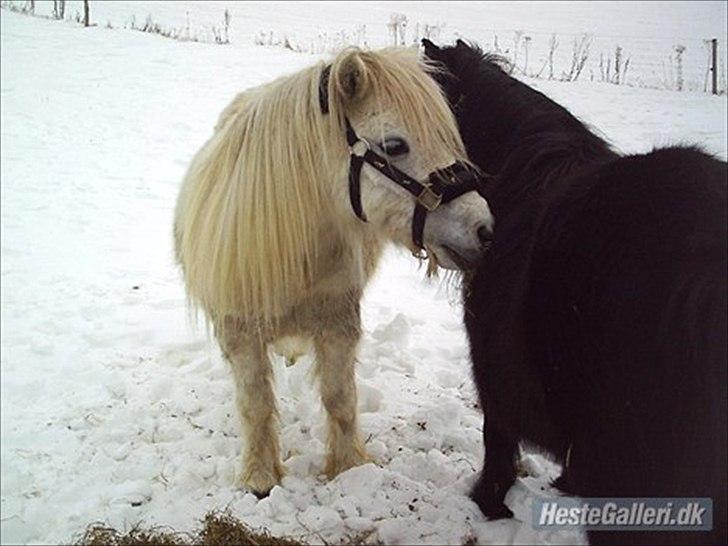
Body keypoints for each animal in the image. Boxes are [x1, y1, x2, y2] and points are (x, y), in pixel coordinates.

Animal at [176, 46, 494, 492]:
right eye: (394, 145)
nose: (484, 229)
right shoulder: (241, 333)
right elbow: (256, 404)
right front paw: (260, 477)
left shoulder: (338, 322)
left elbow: (340, 398)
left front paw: (348, 468)